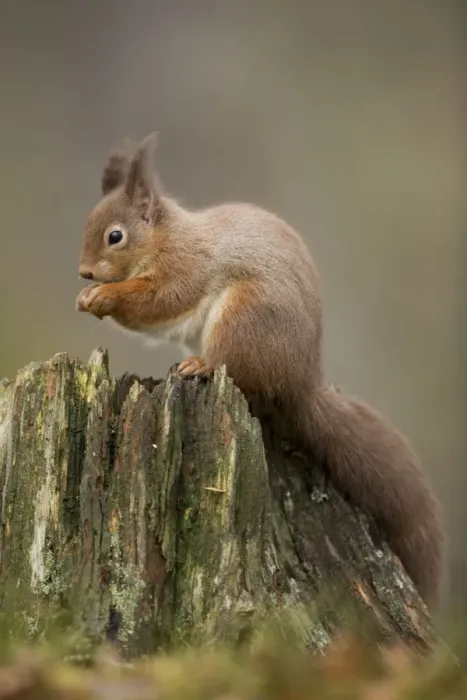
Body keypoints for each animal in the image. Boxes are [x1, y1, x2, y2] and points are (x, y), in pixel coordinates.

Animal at [77, 131, 445, 608]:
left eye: (115, 236)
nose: (84, 272)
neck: (166, 238)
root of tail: (300, 384)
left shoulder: (186, 268)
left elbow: (159, 301)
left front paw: (106, 296)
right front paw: (88, 297)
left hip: (243, 320)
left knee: (238, 372)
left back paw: (200, 365)